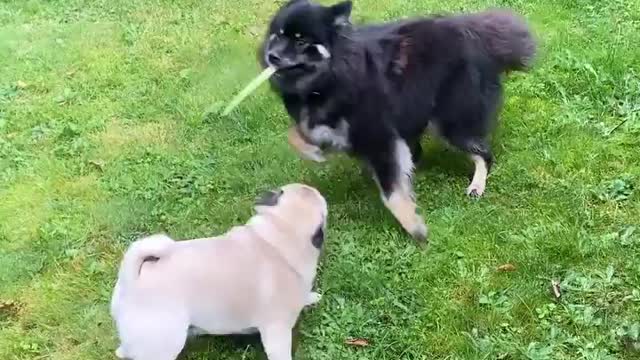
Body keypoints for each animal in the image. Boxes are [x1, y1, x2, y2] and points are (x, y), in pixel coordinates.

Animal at [258, 0, 536, 243]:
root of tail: (474, 34)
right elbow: (296, 134)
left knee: (483, 154)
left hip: (449, 121)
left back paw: (477, 185)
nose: (272, 56)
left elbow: (392, 193)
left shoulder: (379, 136)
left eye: (301, 41)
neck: (329, 78)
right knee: (420, 151)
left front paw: (415, 228)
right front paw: (314, 152)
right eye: (278, 36)